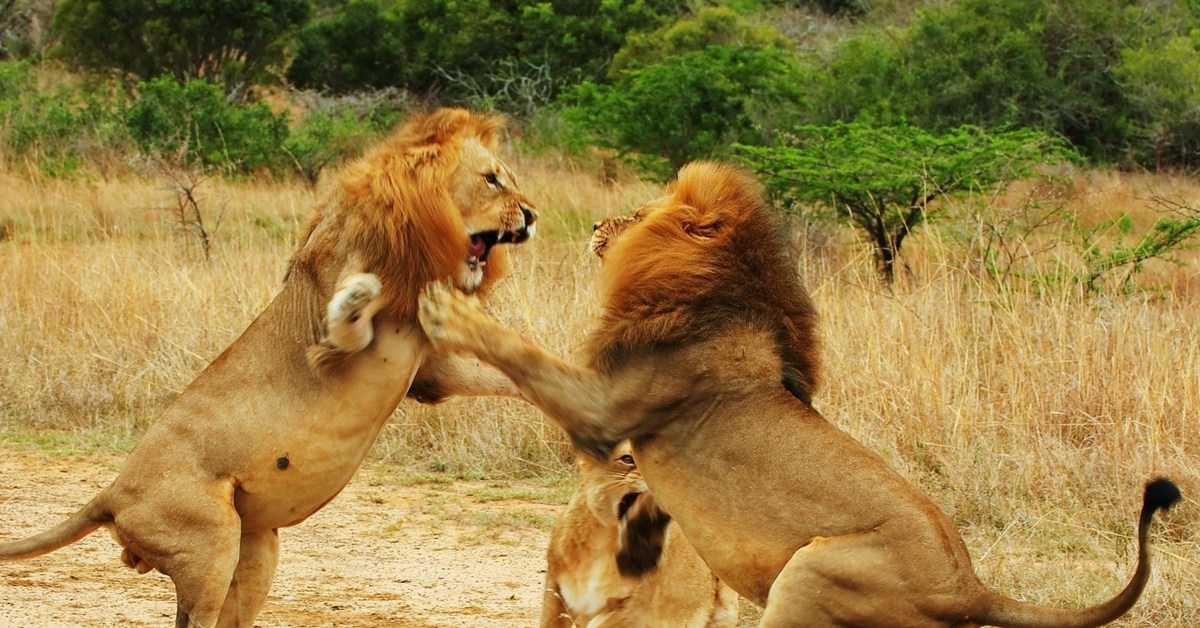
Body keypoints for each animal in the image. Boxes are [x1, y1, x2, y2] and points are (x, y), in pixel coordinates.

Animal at [0, 109, 535, 628]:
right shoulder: (338, 335)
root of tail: (112, 493)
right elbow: (349, 321)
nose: (531, 216)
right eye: (492, 180)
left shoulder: (429, 368)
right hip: (209, 543)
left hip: (255, 548)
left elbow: (500, 375)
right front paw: (359, 295)